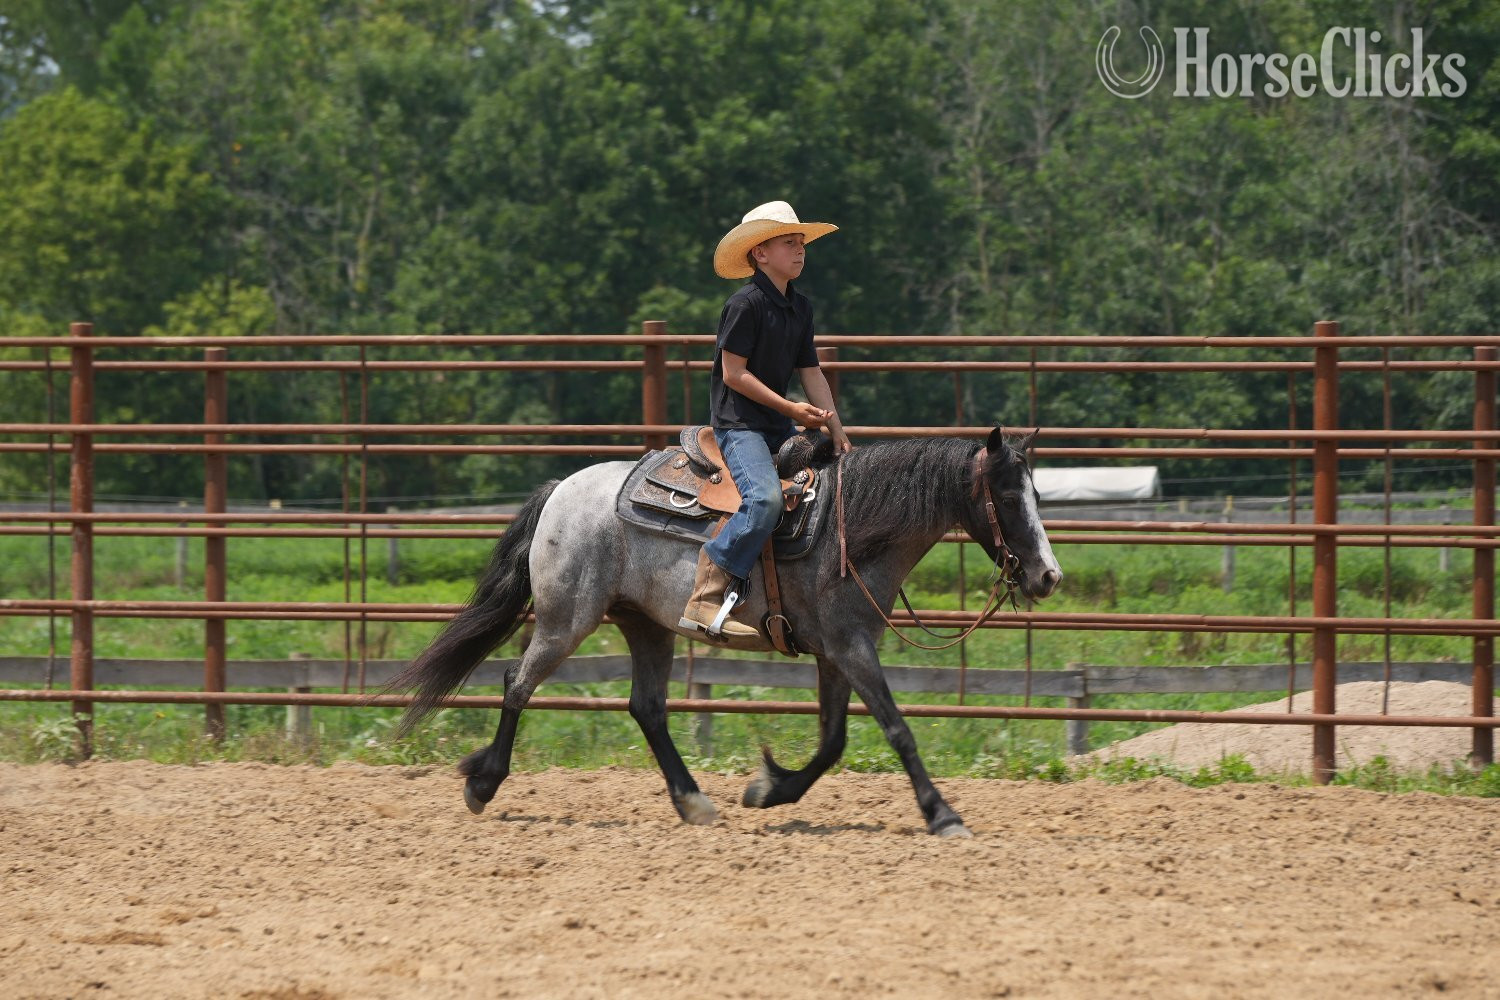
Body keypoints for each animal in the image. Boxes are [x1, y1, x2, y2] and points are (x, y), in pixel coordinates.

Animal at [387, 426, 1062, 838]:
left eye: (1036, 493)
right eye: (1007, 496)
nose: (1047, 576)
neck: (849, 529)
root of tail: (561, 491)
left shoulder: (836, 651)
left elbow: (834, 740)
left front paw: (768, 790)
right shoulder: (850, 647)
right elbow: (896, 729)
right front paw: (943, 815)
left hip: (645, 626)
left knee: (647, 708)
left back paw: (693, 801)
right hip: (565, 619)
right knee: (516, 682)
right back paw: (483, 783)